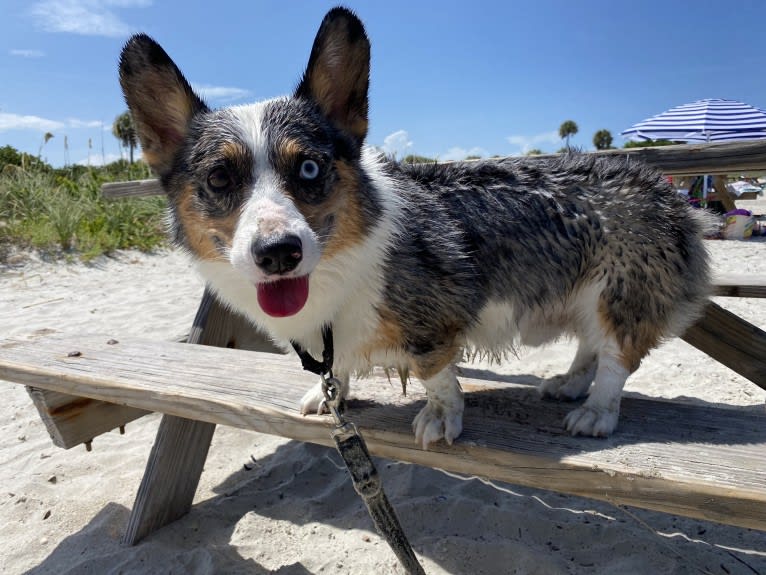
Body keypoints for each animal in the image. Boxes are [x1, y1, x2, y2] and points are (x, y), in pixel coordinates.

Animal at [120, 7, 712, 450]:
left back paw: (596, 411)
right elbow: (334, 373)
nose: (278, 253)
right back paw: (568, 384)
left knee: (616, 356)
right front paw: (328, 397)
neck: (339, 265)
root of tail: (663, 188)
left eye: (308, 168)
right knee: (589, 346)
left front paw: (441, 418)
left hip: (618, 294)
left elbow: (436, 374)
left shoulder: (433, 322)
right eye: (219, 177)